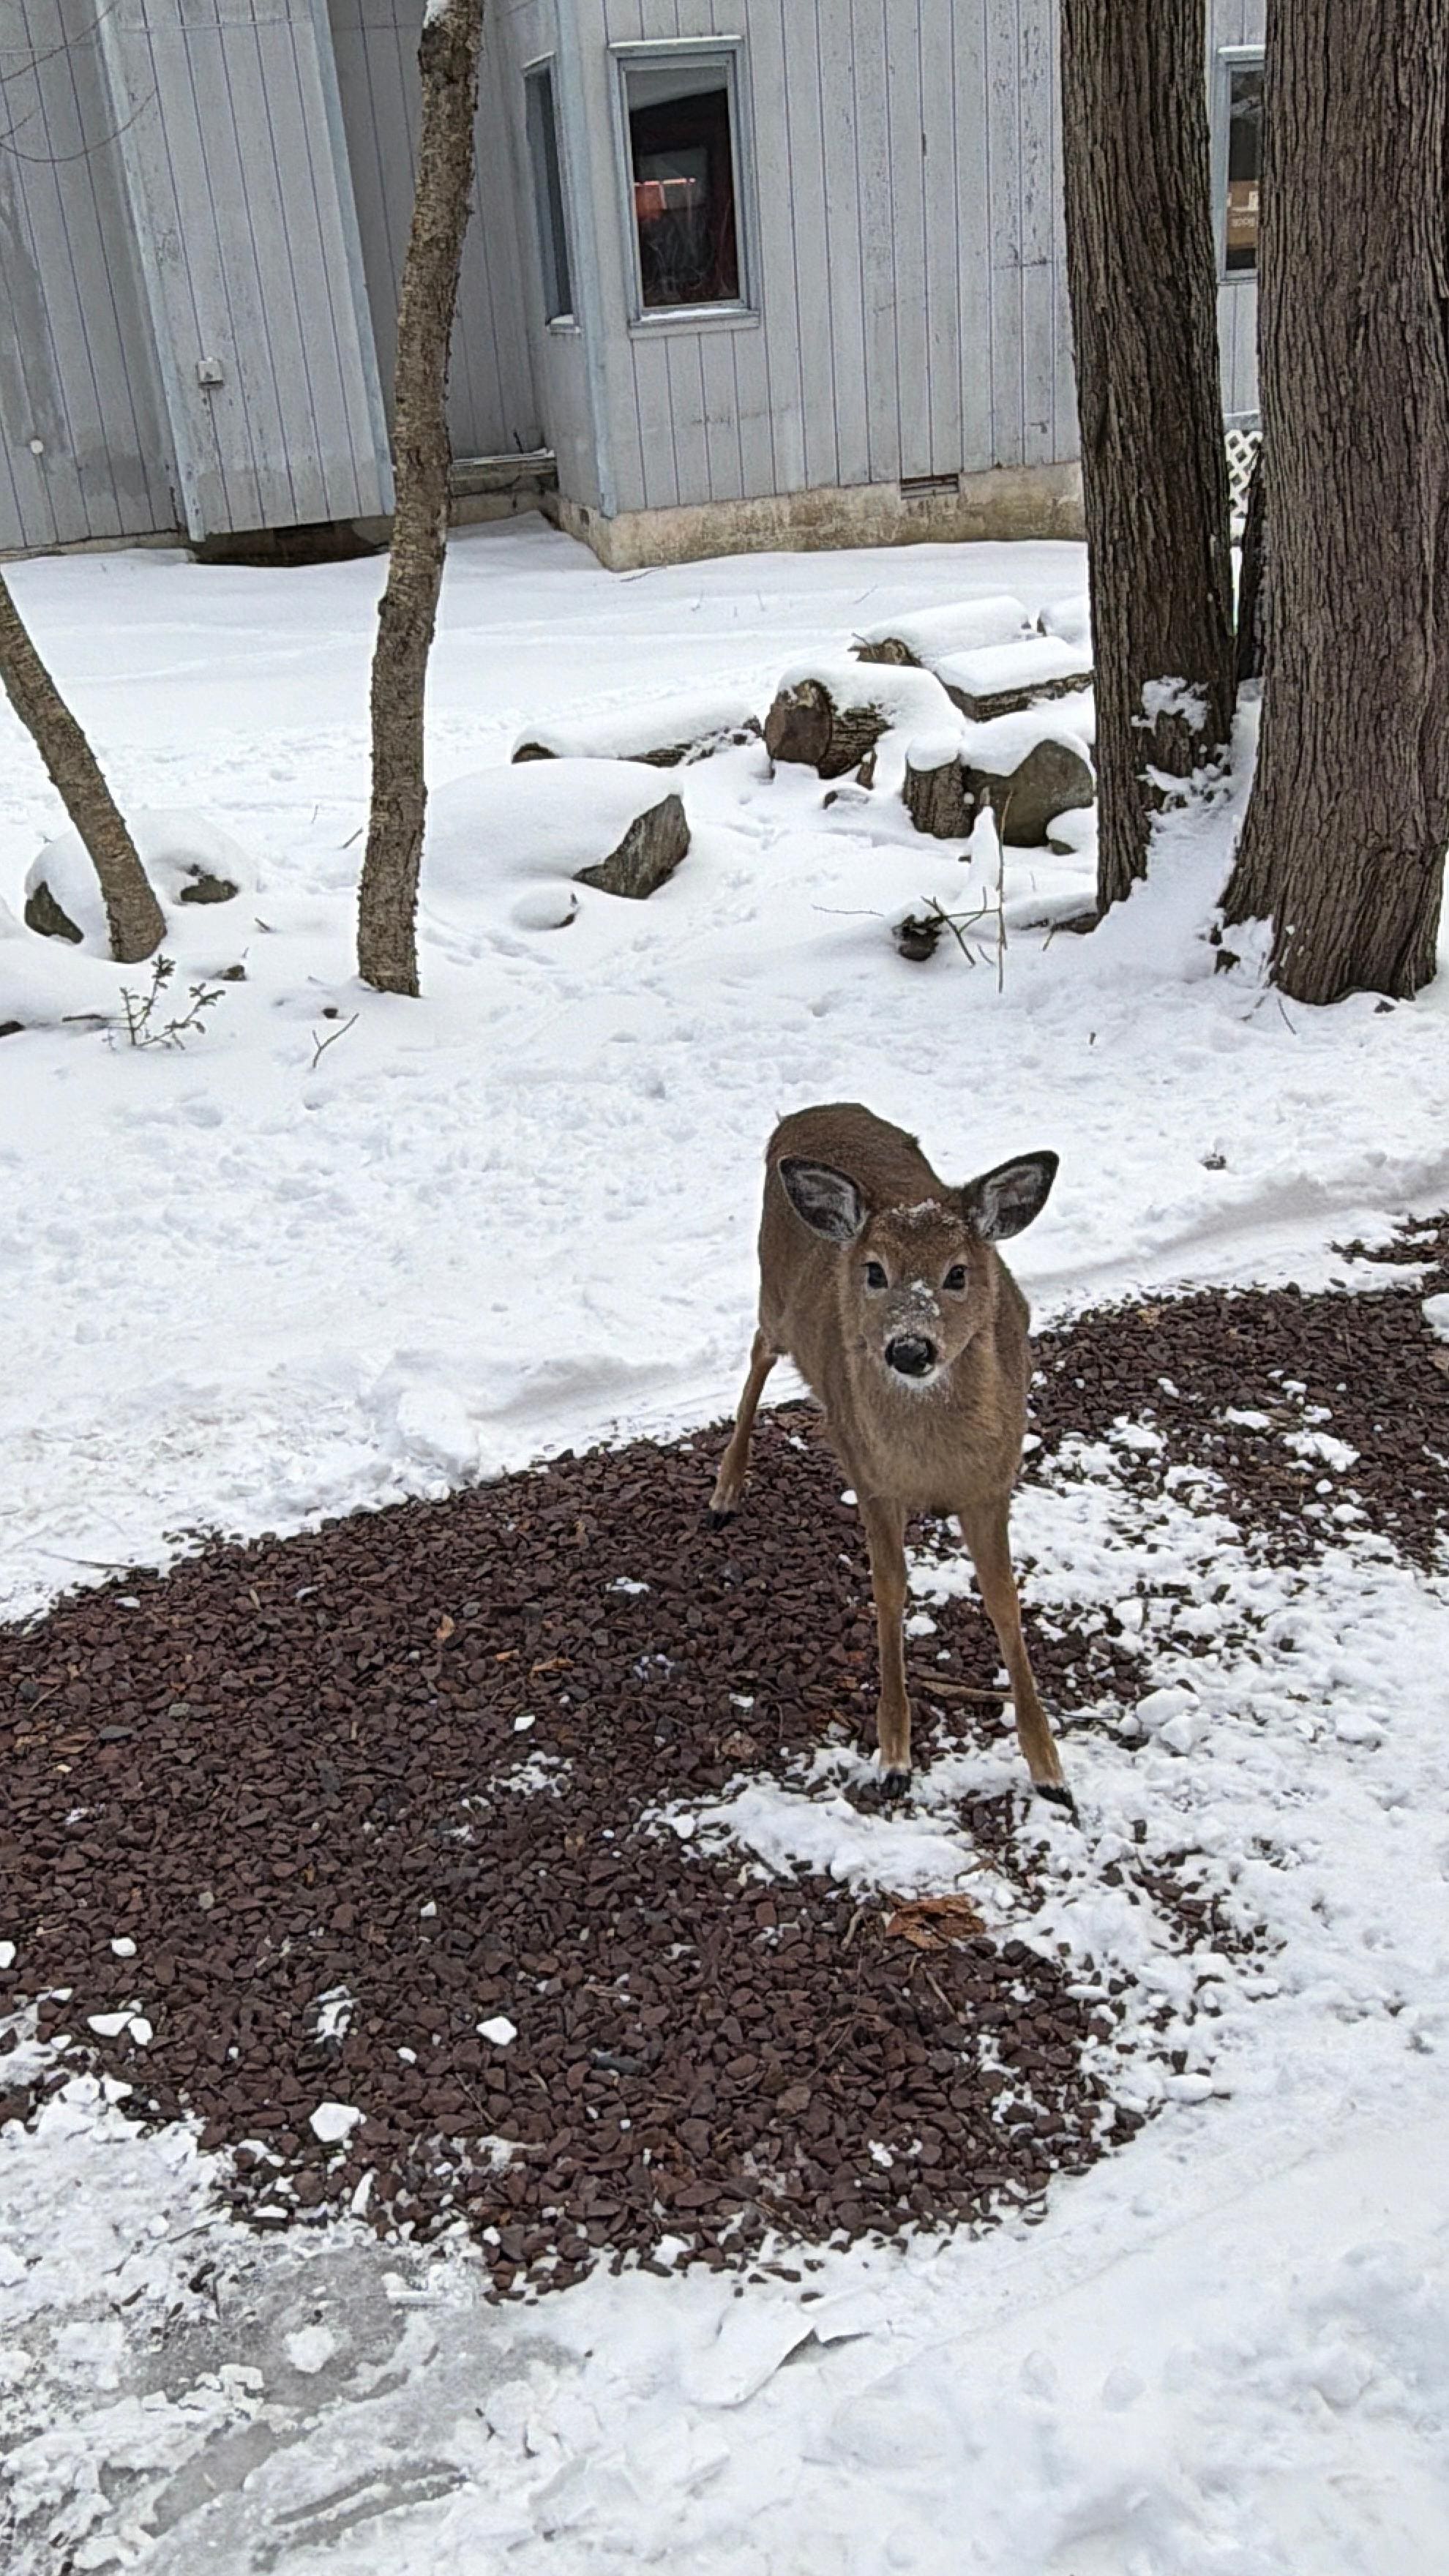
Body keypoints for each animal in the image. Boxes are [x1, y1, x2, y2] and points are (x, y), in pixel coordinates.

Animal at [709, 1102, 1071, 1810]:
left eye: (958, 1273)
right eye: (874, 1271)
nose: (909, 1348)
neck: (932, 1464)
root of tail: (807, 1114)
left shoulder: (993, 1484)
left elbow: (1004, 1601)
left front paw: (1049, 1769)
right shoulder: (872, 1480)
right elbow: (890, 1593)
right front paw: (895, 1756)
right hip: (775, 1292)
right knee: (759, 1350)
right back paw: (725, 1490)